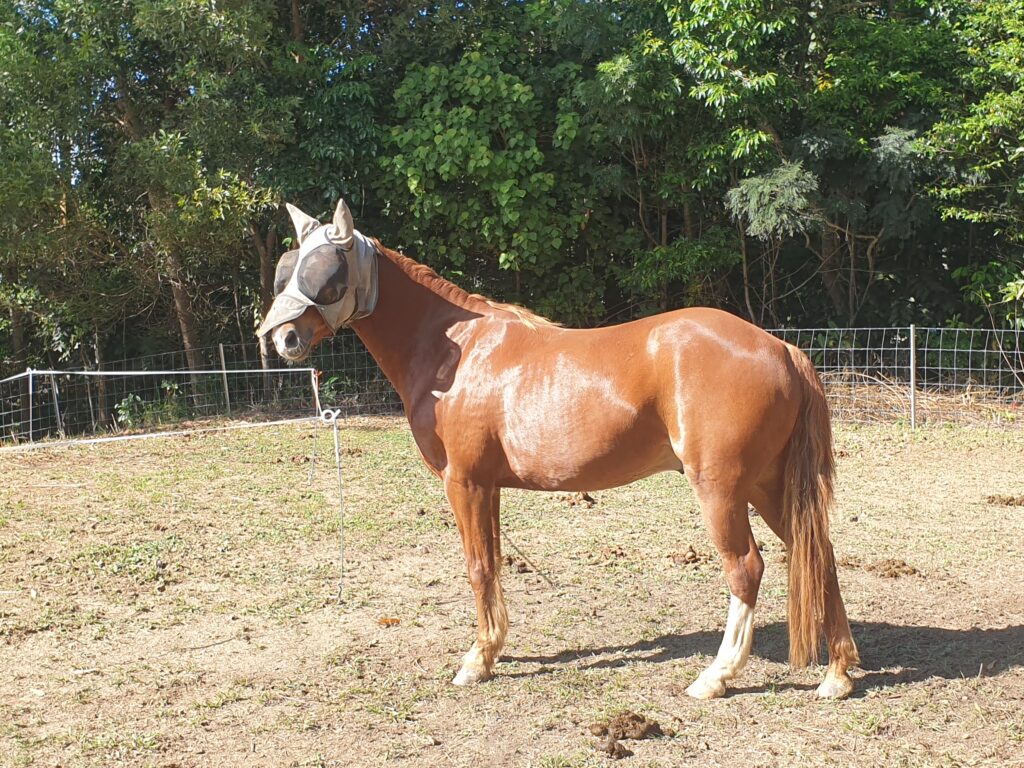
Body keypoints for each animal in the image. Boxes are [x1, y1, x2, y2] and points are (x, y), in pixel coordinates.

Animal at [260, 199, 860, 704]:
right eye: (286, 267)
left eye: (326, 272)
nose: (281, 338)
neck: (457, 353)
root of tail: (780, 348)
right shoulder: (488, 486)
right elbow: (493, 563)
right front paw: (494, 649)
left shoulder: (464, 482)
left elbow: (478, 566)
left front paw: (476, 661)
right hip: (767, 483)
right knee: (817, 552)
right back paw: (837, 673)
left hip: (722, 489)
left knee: (747, 568)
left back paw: (716, 677)